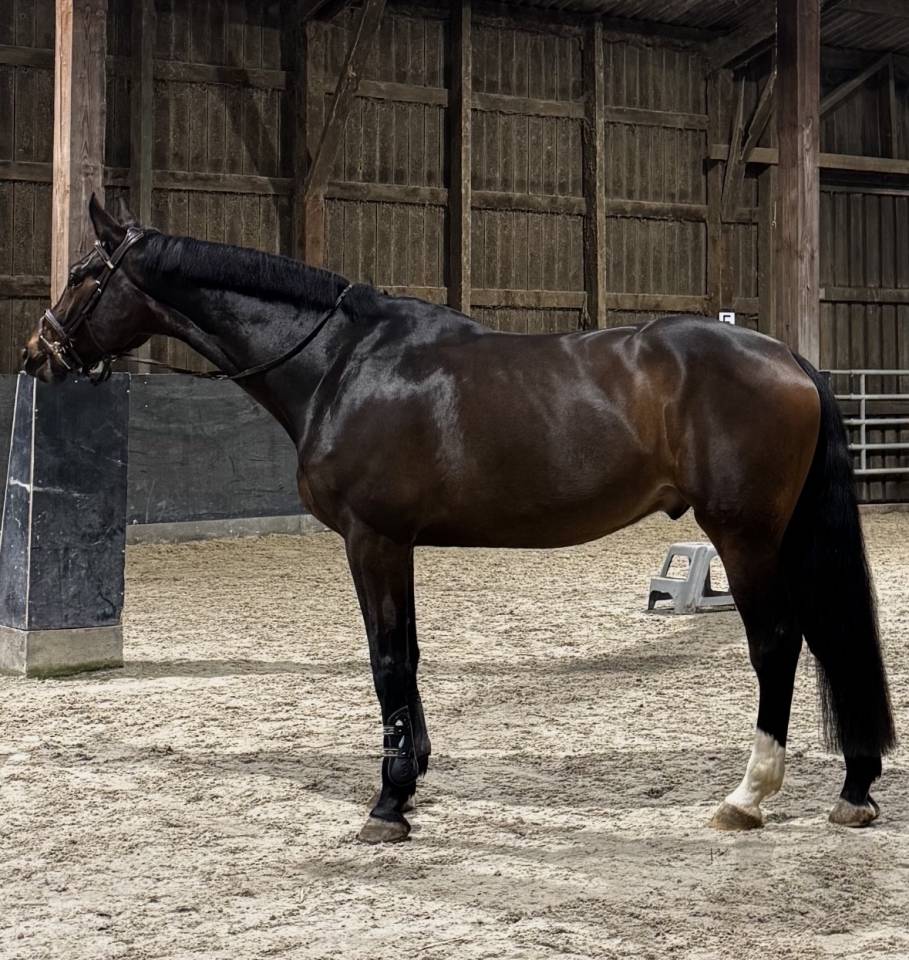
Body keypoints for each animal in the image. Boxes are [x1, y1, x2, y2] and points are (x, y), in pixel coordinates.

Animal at [23, 196, 895, 843]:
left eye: (84, 273)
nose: (39, 353)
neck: (343, 362)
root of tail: (786, 358)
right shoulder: (396, 543)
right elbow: (406, 655)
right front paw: (411, 777)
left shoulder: (371, 539)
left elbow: (386, 661)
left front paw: (386, 804)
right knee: (828, 638)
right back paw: (853, 788)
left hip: (743, 535)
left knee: (778, 643)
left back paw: (747, 795)